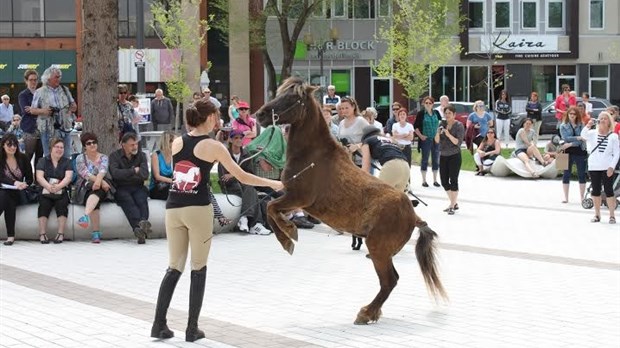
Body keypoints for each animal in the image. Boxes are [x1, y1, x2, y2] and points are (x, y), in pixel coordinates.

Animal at [254, 77, 448, 324]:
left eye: (292, 98)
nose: (260, 114)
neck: (313, 158)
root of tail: (414, 216)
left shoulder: (298, 197)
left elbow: (270, 208)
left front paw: (288, 237)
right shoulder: (293, 200)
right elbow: (272, 210)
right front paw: (289, 230)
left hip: (378, 249)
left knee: (390, 280)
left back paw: (366, 313)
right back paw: (372, 312)